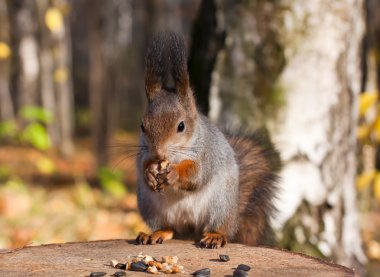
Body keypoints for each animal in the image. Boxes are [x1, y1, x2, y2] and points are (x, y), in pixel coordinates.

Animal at [135, 31, 280, 247]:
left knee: (220, 227)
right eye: (142, 126)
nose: (159, 153)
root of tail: (190, 231)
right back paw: (157, 233)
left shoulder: (207, 153)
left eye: (181, 126)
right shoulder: (143, 153)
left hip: (220, 205)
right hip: (151, 208)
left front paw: (174, 173)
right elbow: (143, 166)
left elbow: (197, 174)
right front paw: (150, 173)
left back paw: (215, 236)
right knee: (169, 228)